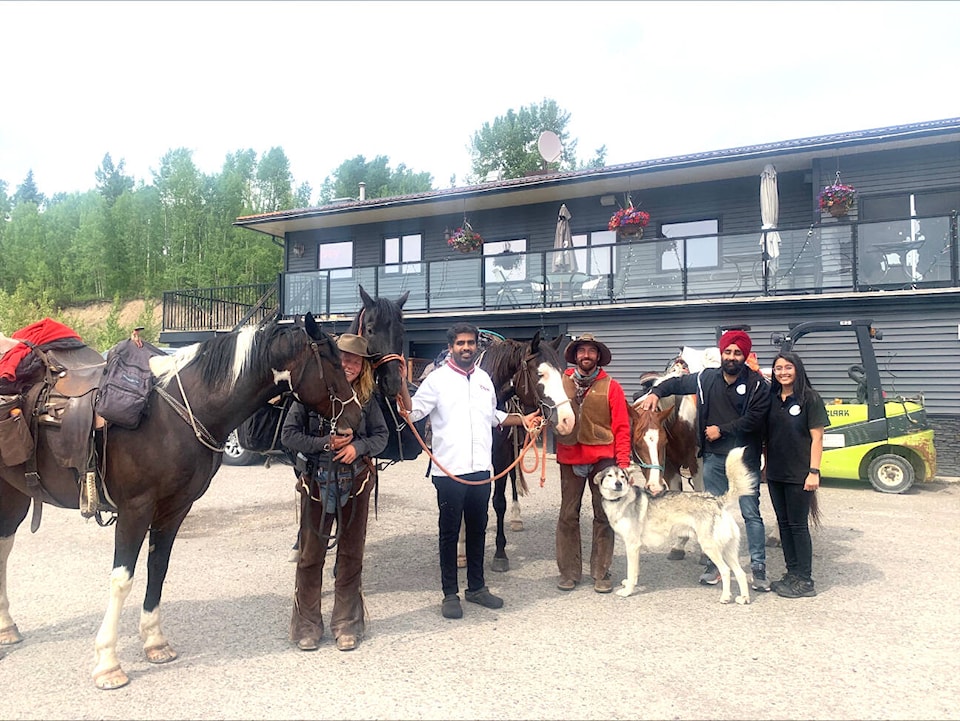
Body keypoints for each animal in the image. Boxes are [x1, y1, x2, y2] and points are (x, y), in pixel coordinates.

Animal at [0, 312, 360, 688]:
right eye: (333, 362)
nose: (356, 418)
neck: (169, 415)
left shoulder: (174, 508)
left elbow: (158, 569)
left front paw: (155, 642)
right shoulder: (135, 508)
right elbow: (122, 579)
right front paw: (108, 663)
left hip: (14, 493)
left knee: (4, 547)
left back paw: (7, 627)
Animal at [592, 444, 756, 600]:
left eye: (622, 476)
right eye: (610, 475)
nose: (618, 484)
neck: (620, 499)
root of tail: (716, 500)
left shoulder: (632, 546)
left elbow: (631, 572)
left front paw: (627, 591)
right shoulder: (635, 548)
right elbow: (635, 572)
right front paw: (630, 584)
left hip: (711, 548)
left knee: (726, 571)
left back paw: (725, 597)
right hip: (728, 550)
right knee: (740, 573)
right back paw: (744, 598)